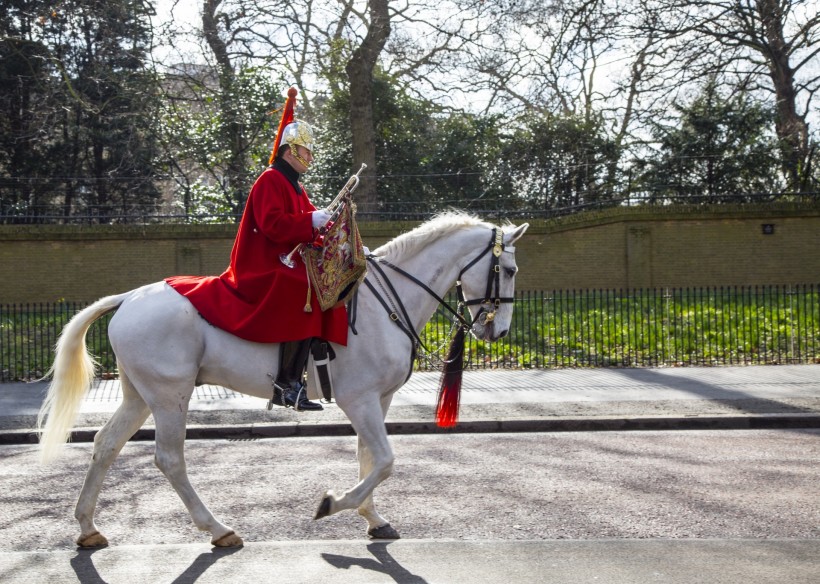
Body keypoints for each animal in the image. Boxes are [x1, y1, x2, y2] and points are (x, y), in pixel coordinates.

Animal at [36, 213, 524, 548]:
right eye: (511, 270)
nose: (498, 333)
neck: (386, 302)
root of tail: (131, 296)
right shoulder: (359, 400)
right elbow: (385, 461)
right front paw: (333, 504)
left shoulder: (378, 400)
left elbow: (370, 458)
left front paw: (372, 518)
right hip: (170, 395)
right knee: (170, 459)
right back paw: (218, 528)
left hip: (140, 396)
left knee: (106, 444)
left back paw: (88, 527)